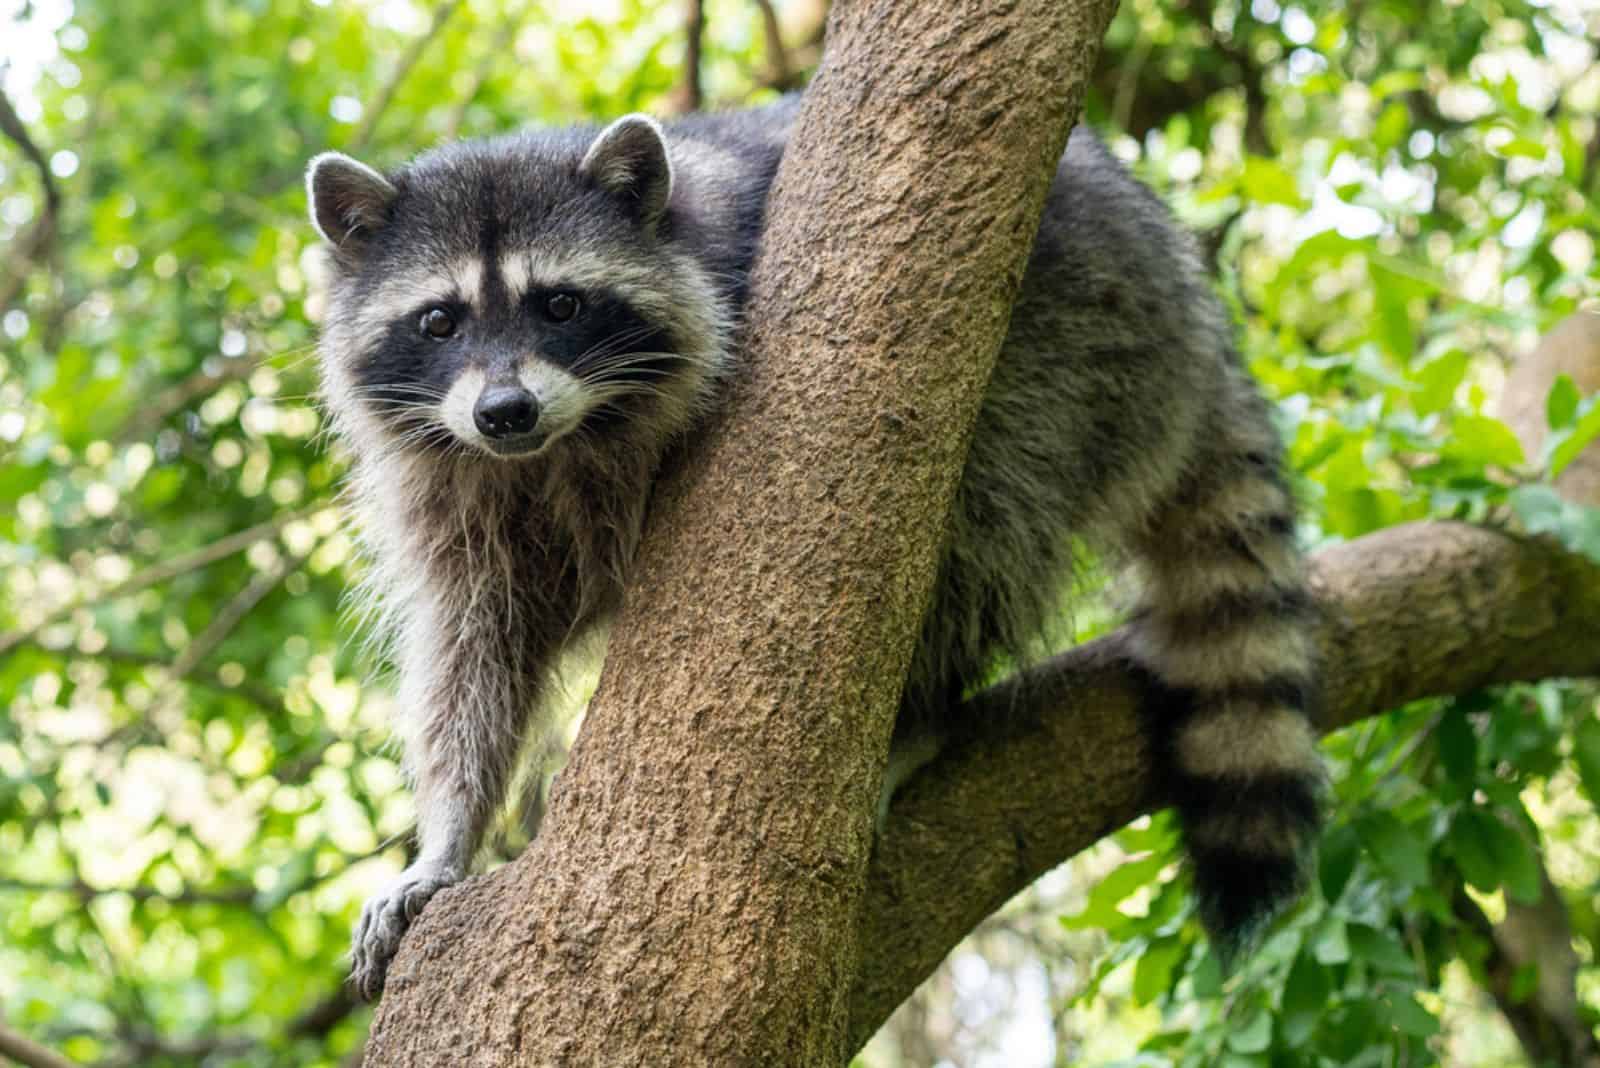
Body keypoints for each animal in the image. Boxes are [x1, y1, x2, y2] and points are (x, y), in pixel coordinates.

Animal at [308, 93, 1324, 1004]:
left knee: (981, 513)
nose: (504, 411)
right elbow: (474, 650)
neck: (554, 445)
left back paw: (919, 713)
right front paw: (448, 834)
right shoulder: (455, 490)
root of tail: (1189, 296)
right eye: (440, 321)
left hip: (1082, 336)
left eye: (559, 305)